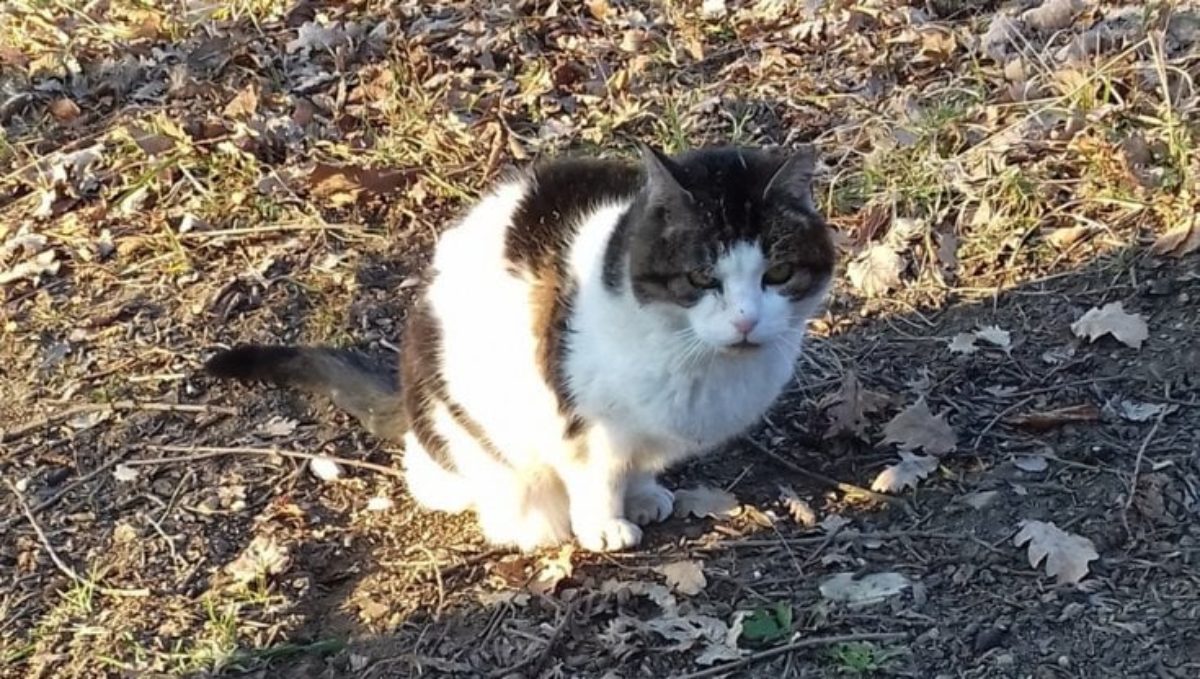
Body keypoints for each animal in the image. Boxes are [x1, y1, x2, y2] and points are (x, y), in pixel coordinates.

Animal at [204, 143, 835, 554]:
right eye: (702, 278)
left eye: (778, 274)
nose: (746, 320)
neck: (697, 360)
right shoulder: (586, 424)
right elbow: (597, 476)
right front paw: (604, 526)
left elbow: (635, 469)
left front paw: (643, 496)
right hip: (461, 420)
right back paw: (525, 520)